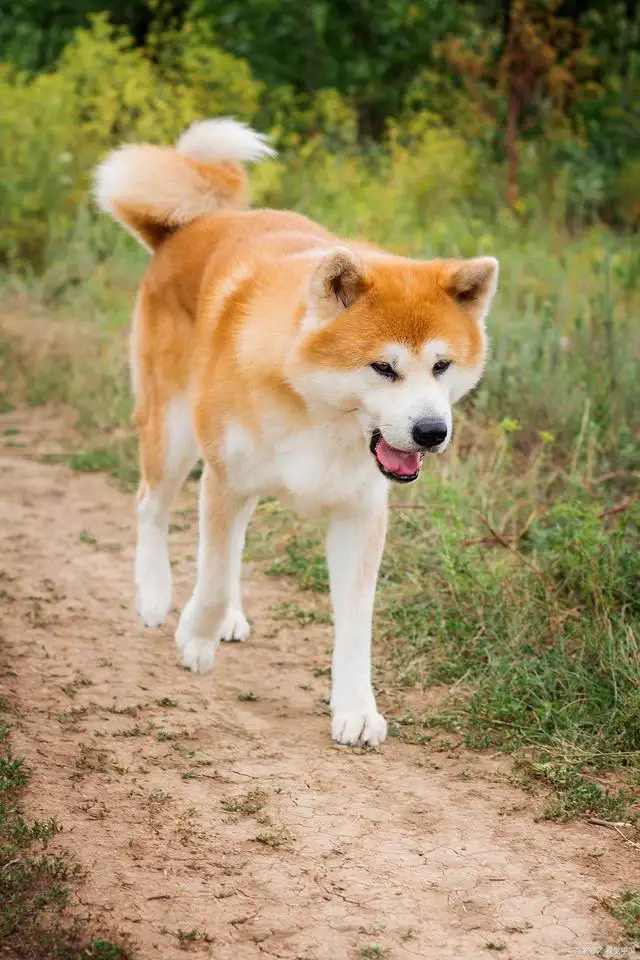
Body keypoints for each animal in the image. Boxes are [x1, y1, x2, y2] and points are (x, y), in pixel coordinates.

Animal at [92, 118, 498, 752]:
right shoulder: (226, 479)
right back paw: (157, 596)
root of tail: (186, 230)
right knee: (151, 509)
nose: (432, 432)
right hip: (175, 436)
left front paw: (355, 708)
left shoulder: (359, 514)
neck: (320, 414)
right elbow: (212, 576)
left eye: (442, 366)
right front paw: (194, 635)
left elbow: (355, 624)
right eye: (383, 368)